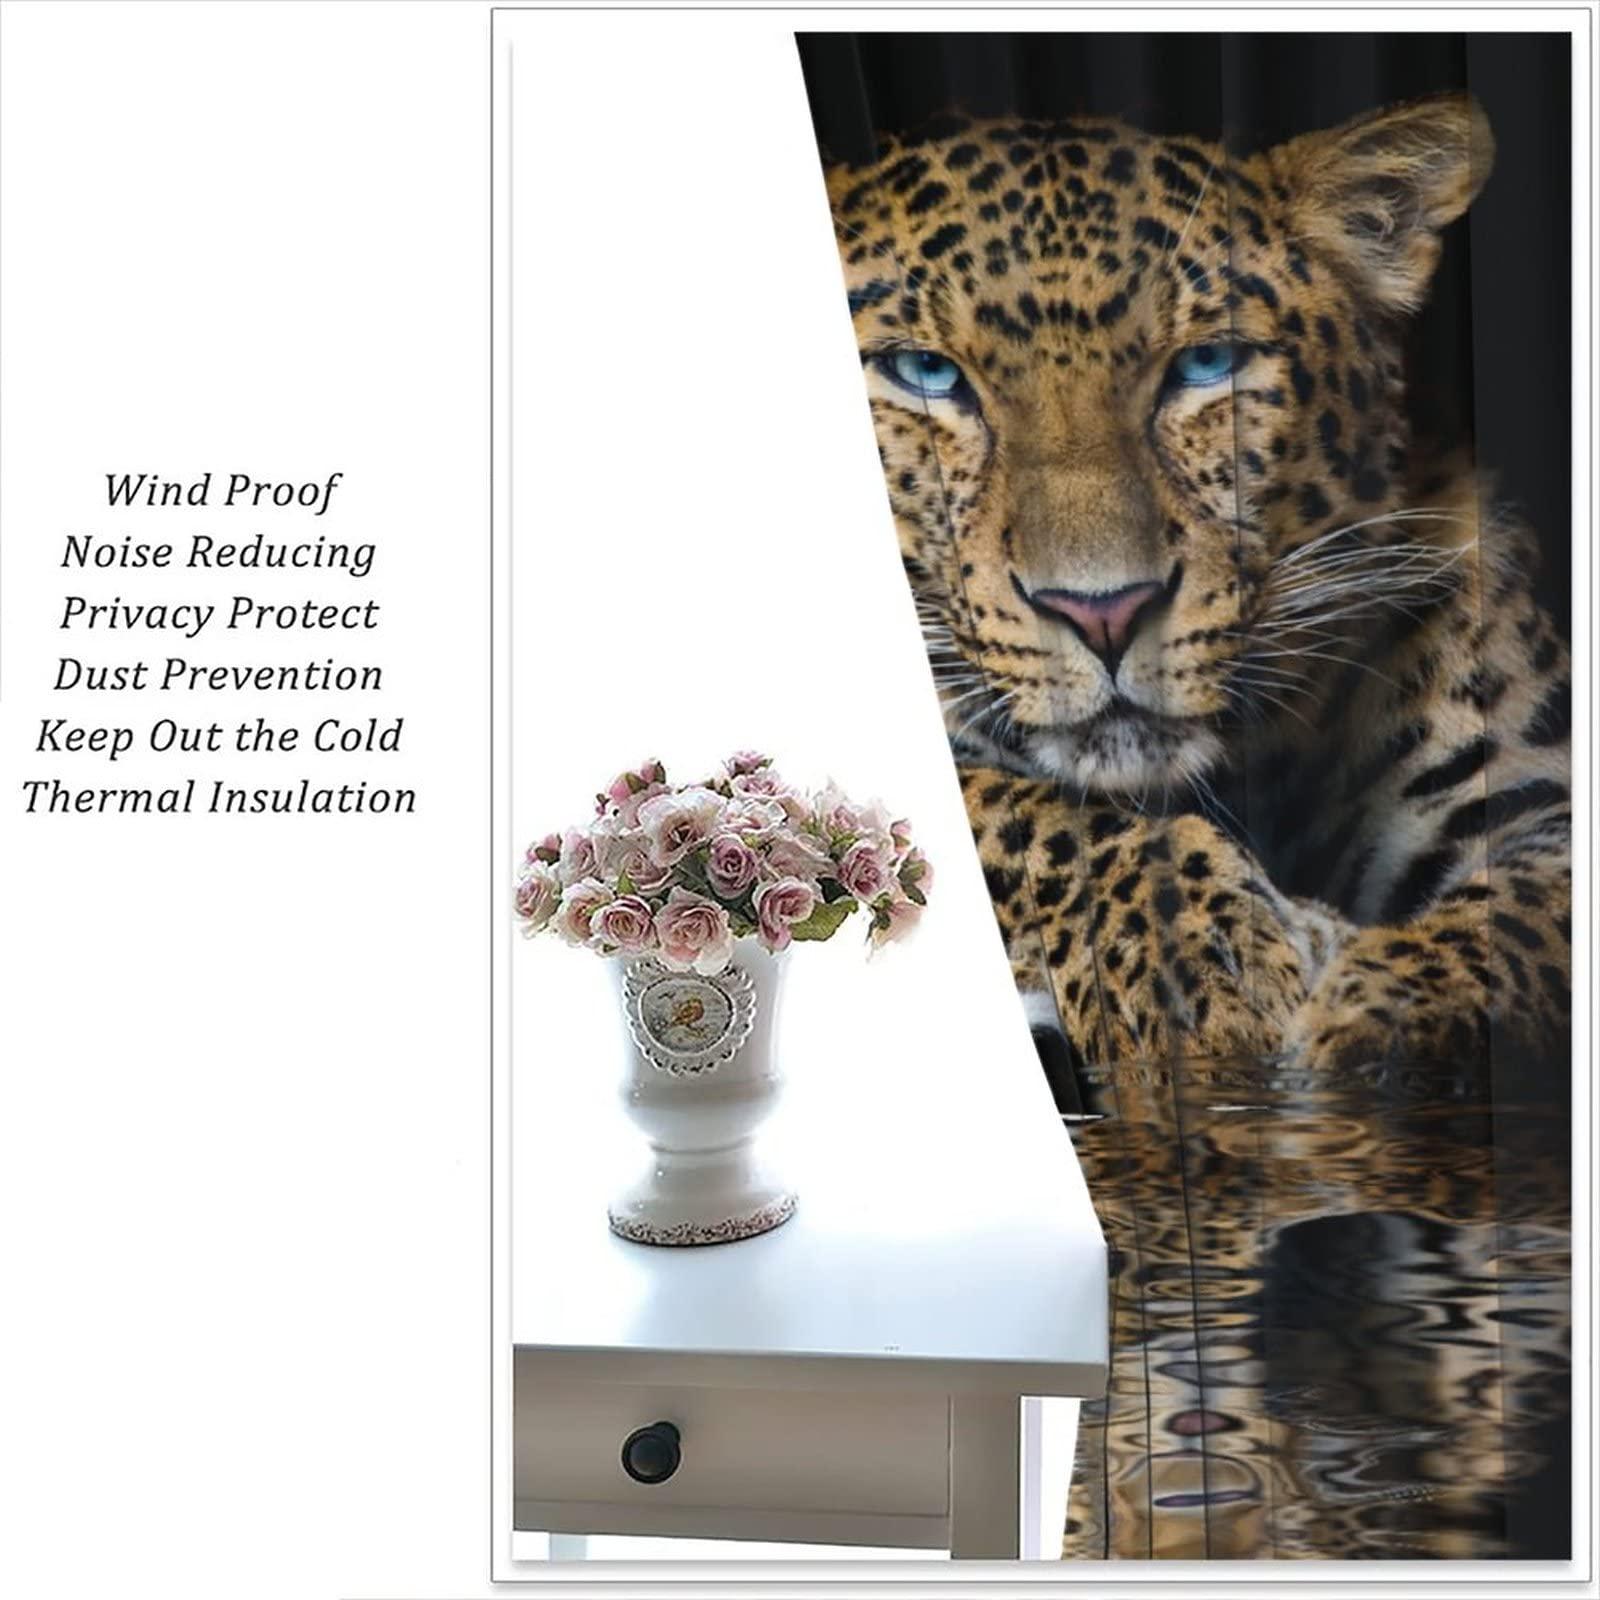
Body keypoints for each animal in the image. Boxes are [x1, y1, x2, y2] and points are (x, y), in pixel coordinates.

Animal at [824, 94, 1571, 1087]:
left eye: (1207, 365)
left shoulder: (1530, 781)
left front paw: (1384, 1016)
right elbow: (1023, 814)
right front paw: (1204, 967)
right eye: (928, 375)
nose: (1103, 612)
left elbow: (1529, 918)